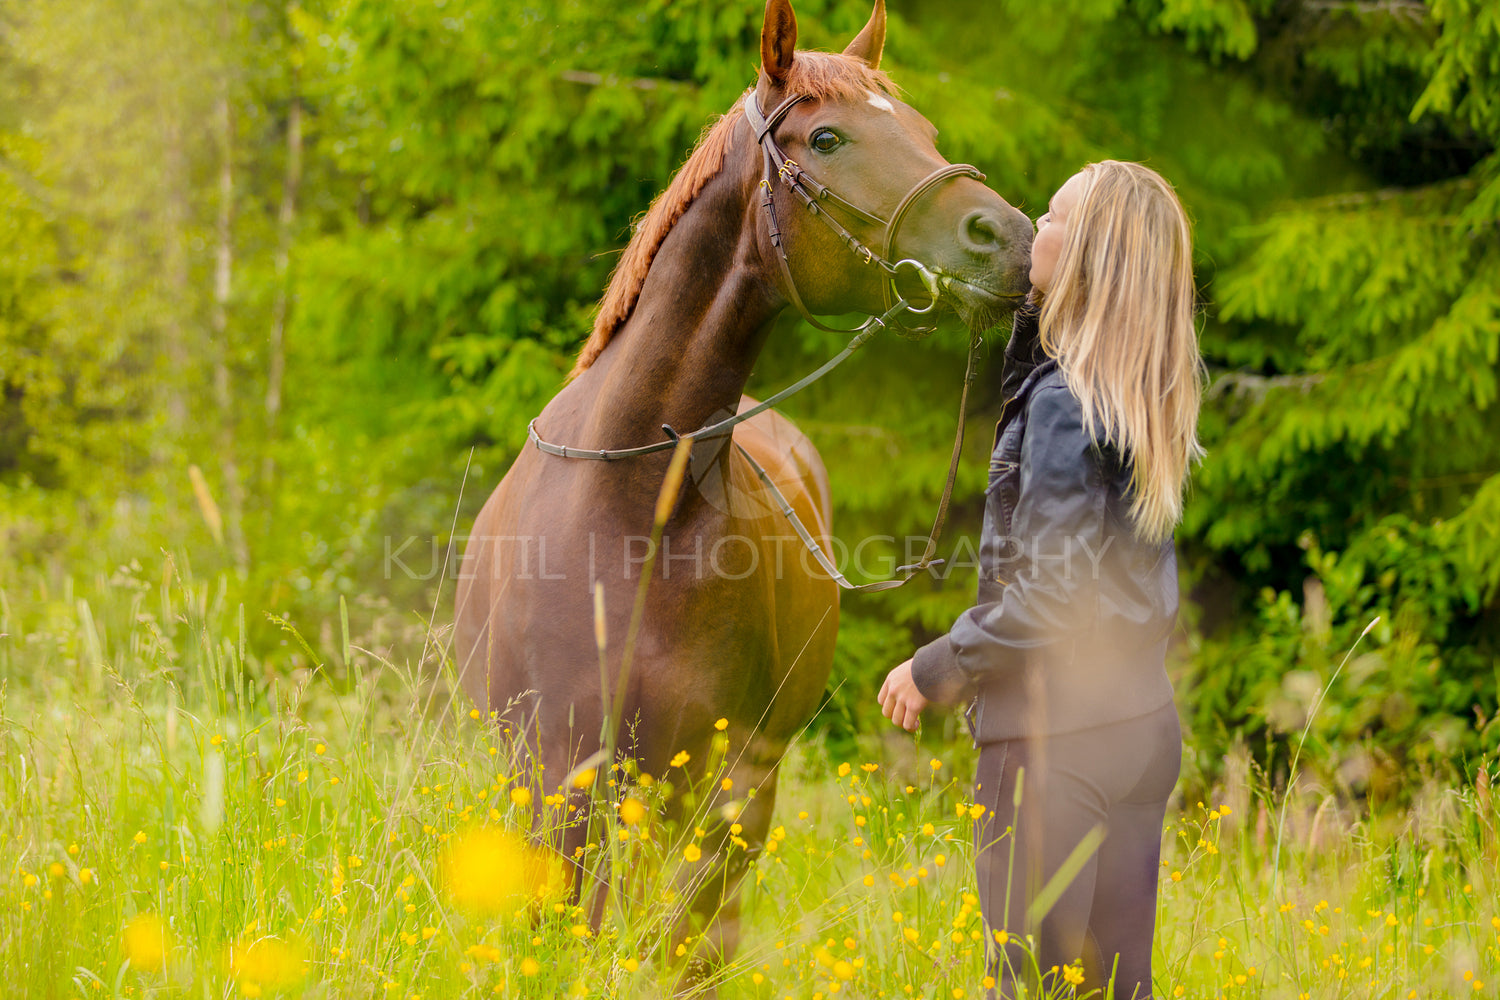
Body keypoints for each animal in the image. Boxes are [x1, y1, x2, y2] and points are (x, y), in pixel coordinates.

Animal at [450, 0, 1032, 983]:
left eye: (924, 131)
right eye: (827, 137)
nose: (1010, 240)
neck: (629, 511)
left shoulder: (715, 785)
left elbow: (677, 947)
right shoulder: (553, 777)